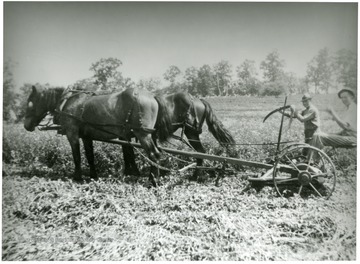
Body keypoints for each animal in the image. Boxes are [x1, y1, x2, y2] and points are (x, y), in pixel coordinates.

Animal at [23, 85, 173, 187]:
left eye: (30, 103)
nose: (26, 126)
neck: (66, 101)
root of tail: (152, 96)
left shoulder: (72, 133)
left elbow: (76, 156)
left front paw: (77, 177)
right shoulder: (86, 136)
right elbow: (90, 156)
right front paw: (93, 176)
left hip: (143, 134)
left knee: (154, 154)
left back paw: (153, 181)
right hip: (150, 134)